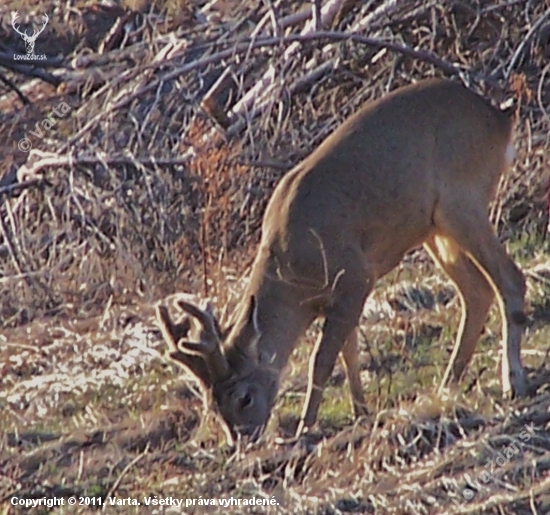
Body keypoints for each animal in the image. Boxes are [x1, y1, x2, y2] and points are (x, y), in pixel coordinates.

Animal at [156, 77, 532, 440]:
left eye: (243, 397)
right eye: (212, 404)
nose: (242, 439)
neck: (294, 277)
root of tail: (499, 120)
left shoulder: (355, 276)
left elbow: (321, 360)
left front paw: (306, 426)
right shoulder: (340, 297)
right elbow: (349, 352)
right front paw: (360, 411)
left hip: (462, 200)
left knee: (510, 279)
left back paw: (513, 381)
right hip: (434, 229)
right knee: (477, 292)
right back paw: (446, 387)